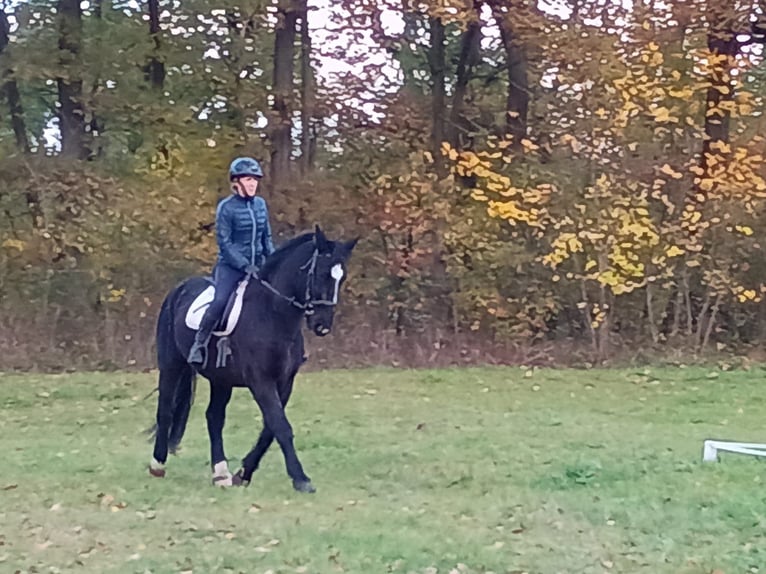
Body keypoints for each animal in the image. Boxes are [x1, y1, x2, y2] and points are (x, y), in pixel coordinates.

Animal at [148, 225, 358, 492]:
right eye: (320, 273)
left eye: (342, 277)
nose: (322, 326)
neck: (272, 314)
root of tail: (179, 289)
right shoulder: (261, 380)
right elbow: (281, 426)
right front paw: (301, 478)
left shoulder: (284, 382)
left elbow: (270, 428)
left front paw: (243, 473)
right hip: (171, 365)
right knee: (165, 410)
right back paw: (157, 465)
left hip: (221, 379)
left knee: (214, 418)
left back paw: (221, 473)